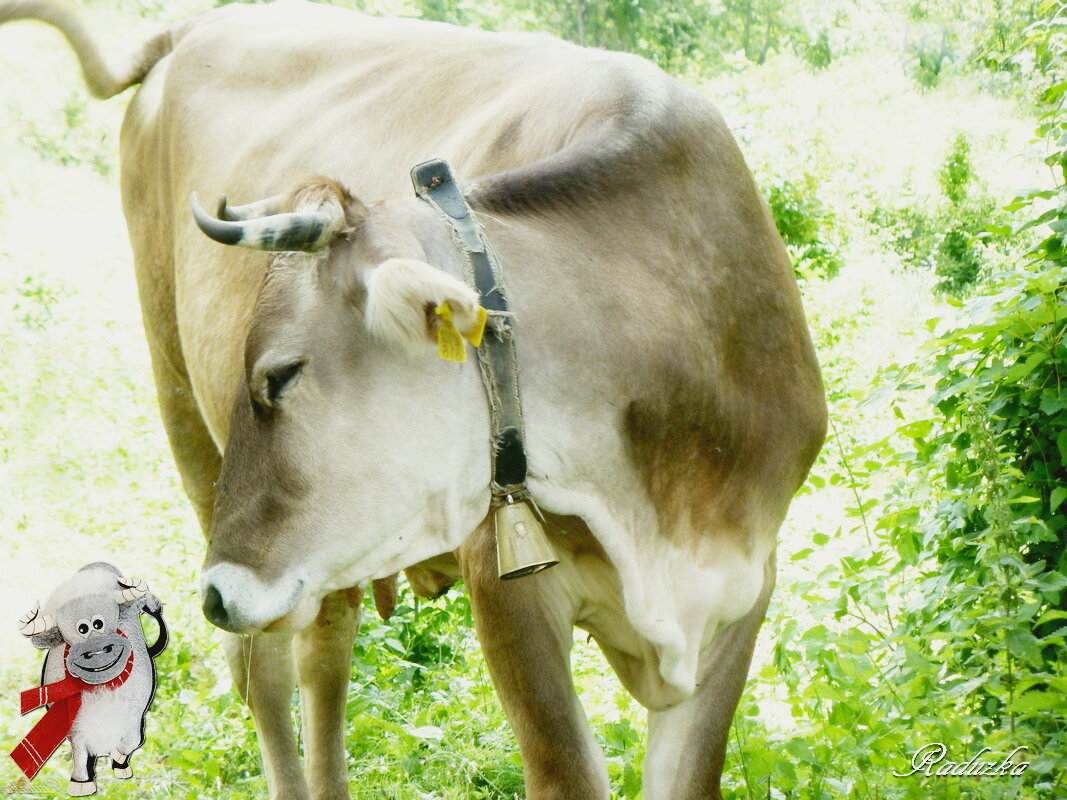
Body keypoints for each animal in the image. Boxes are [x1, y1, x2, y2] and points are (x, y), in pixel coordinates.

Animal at [13, 563, 167, 797]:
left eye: (99, 623)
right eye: (81, 629)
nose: (98, 651)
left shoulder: (134, 717)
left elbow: (130, 742)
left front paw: (119, 760)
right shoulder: (76, 730)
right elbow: (80, 756)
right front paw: (81, 784)